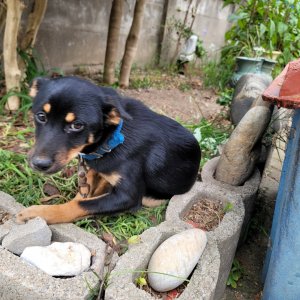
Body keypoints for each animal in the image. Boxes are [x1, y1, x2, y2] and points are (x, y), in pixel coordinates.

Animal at [16, 76, 200, 224]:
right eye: (41, 116)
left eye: (77, 125)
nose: (39, 164)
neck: (113, 138)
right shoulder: (91, 169)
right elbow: (83, 193)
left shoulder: (128, 197)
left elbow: (81, 204)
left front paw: (38, 212)